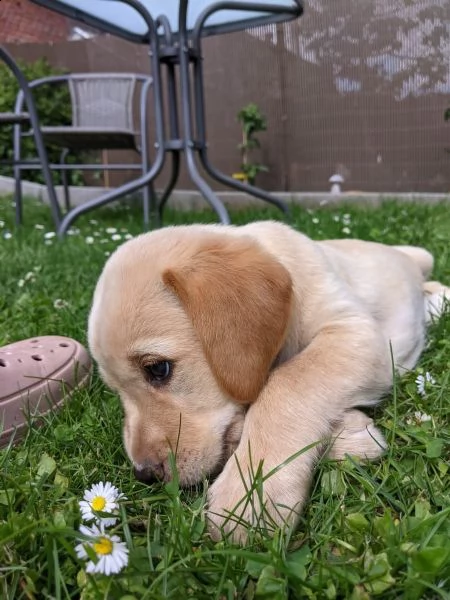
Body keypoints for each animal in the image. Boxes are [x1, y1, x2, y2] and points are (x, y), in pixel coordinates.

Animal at [87, 220, 446, 544]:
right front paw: (353, 435)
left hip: (423, 258)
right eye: (116, 390)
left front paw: (251, 493)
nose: (145, 475)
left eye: (158, 369)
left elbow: (288, 381)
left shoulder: (357, 334)